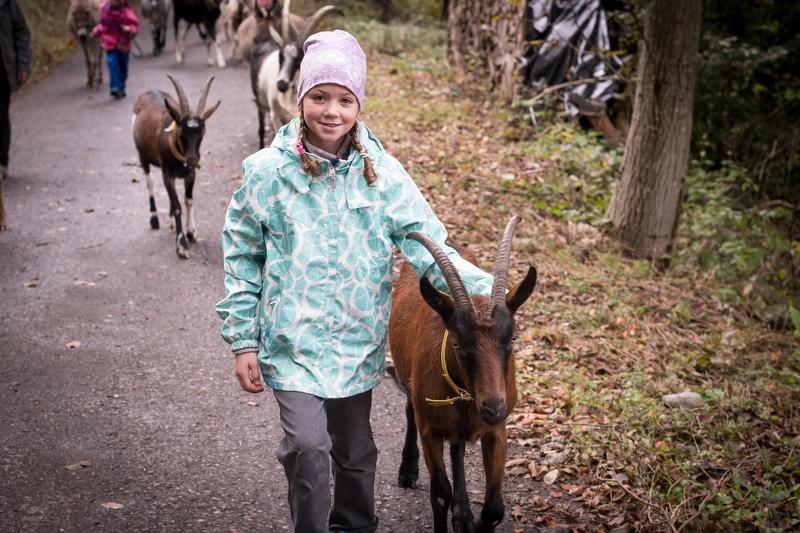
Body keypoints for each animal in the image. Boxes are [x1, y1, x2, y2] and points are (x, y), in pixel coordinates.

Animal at [132, 75, 220, 259]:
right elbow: (178, 205)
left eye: (202, 133)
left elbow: (188, 201)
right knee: (150, 182)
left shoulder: (190, 174)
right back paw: (154, 219)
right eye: (181, 133)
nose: (193, 160)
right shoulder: (168, 174)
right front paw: (181, 245)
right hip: (142, 157)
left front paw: (191, 232)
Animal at [251, 0, 342, 147]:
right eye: (280, 56)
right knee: (261, 128)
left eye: (298, 60)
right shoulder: (275, 114)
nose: (281, 84)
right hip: (260, 102)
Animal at [388, 216, 538, 532]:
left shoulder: (497, 431)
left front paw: (470, 517)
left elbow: (494, 509)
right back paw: (408, 471)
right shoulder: (430, 430)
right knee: (409, 410)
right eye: (456, 342)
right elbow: (439, 494)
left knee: (457, 446)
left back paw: (463, 511)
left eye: (512, 338)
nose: (493, 407)